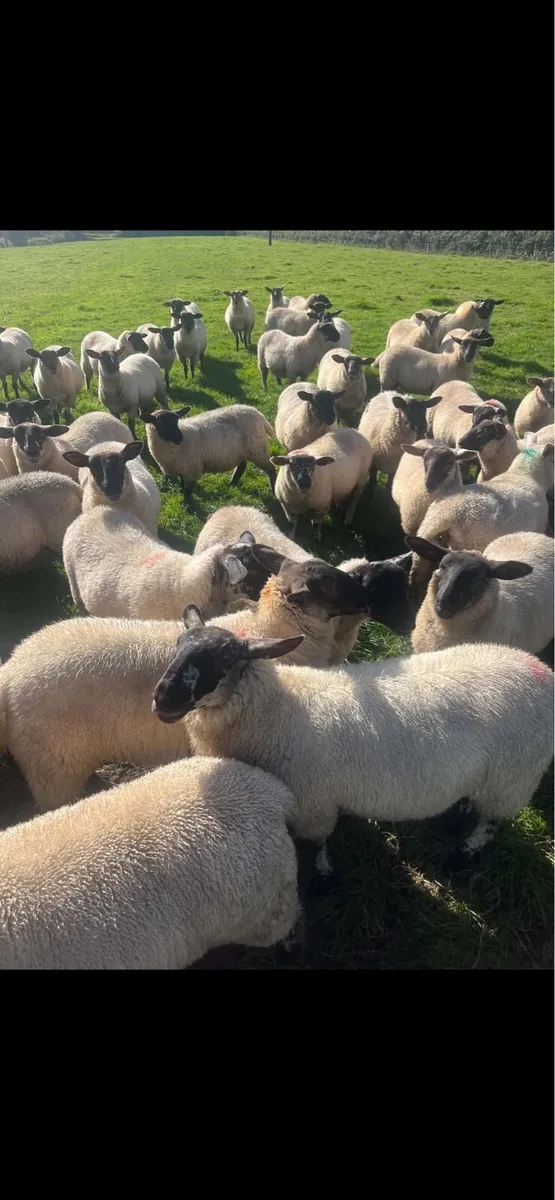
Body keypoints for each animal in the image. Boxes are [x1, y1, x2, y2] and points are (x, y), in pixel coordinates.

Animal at [142, 405, 276, 500]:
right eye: (159, 422)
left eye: (176, 421)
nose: (180, 438)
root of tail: (256, 412)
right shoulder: (180, 468)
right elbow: (182, 484)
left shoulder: (192, 469)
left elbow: (188, 491)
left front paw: (188, 507)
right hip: (242, 451)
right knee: (241, 466)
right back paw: (232, 483)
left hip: (258, 450)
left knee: (271, 469)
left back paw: (274, 490)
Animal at [152, 607, 554, 868]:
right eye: (178, 644)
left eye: (223, 662)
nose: (162, 699)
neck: (279, 710)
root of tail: (541, 671)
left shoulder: (312, 805)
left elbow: (317, 844)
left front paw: (322, 874)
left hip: (513, 777)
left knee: (491, 822)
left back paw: (464, 853)